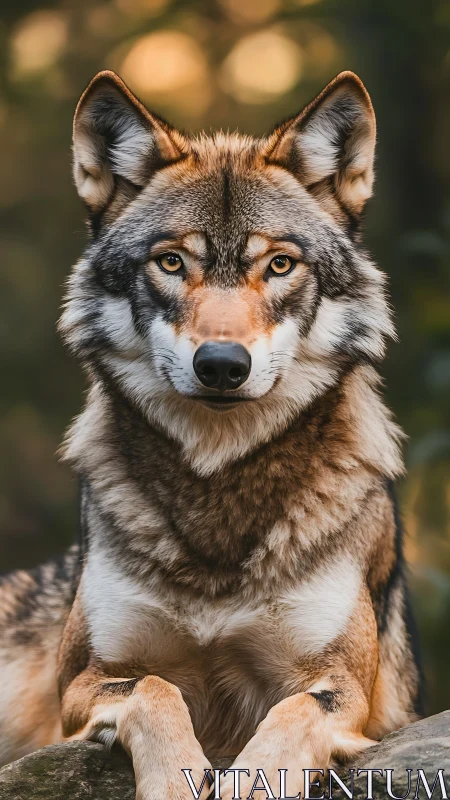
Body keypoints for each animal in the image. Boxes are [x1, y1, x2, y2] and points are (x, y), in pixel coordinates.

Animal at [0, 70, 423, 799]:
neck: (218, 501)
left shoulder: (344, 687)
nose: (223, 364)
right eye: (171, 263)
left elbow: (286, 721)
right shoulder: (80, 684)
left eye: (279, 266)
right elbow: (155, 691)